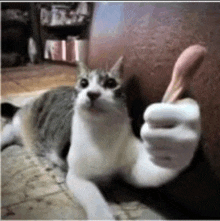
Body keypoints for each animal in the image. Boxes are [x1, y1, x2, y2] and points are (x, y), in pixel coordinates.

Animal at [0, 57, 200, 219]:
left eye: (111, 83)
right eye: (84, 83)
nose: (92, 93)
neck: (102, 133)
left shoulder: (133, 166)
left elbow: (153, 170)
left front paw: (180, 132)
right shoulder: (76, 175)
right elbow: (93, 196)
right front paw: (102, 214)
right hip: (26, 121)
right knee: (10, 126)